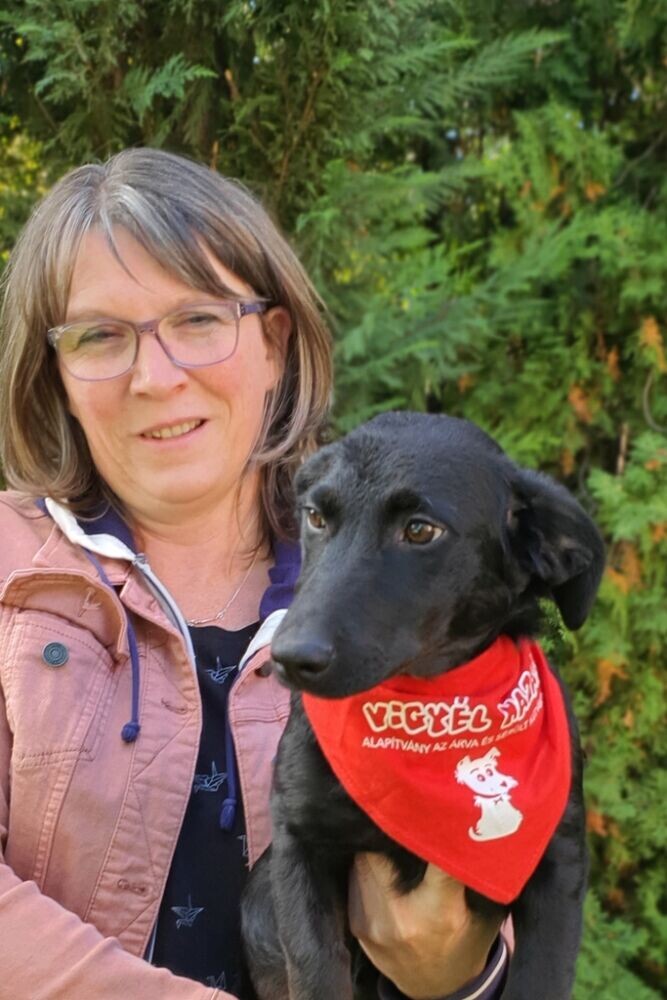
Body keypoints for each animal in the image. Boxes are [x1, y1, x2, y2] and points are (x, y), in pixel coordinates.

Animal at [241, 411, 604, 1000]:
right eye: (316, 517)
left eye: (419, 531)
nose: (289, 657)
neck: (431, 710)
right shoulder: (298, 845)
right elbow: (317, 971)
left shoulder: (559, 864)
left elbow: (542, 977)